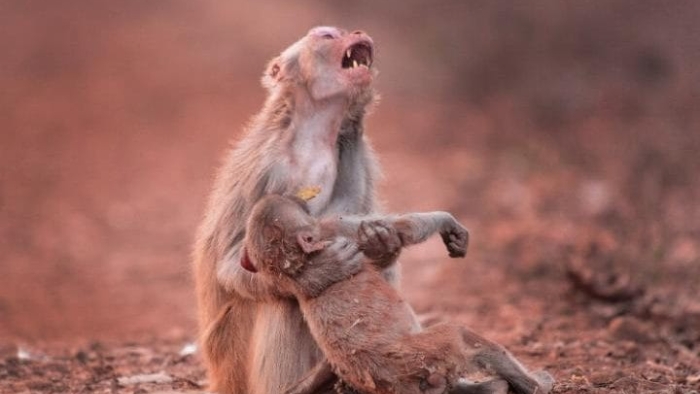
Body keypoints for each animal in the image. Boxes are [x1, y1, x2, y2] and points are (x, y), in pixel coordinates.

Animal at [194, 26, 408, 392]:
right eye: (328, 35)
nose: (357, 32)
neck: (313, 135)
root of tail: (220, 379)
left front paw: (381, 241)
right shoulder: (267, 170)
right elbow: (232, 262)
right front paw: (317, 275)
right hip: (233, 358)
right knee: (282, 301)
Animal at [242, 195, 552, 394]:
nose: (302, 200)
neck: (297, 264)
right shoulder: (331, 228)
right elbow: (404, 229)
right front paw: (447, 222)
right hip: (424, 355)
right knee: (461, 335)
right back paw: (535, 385)